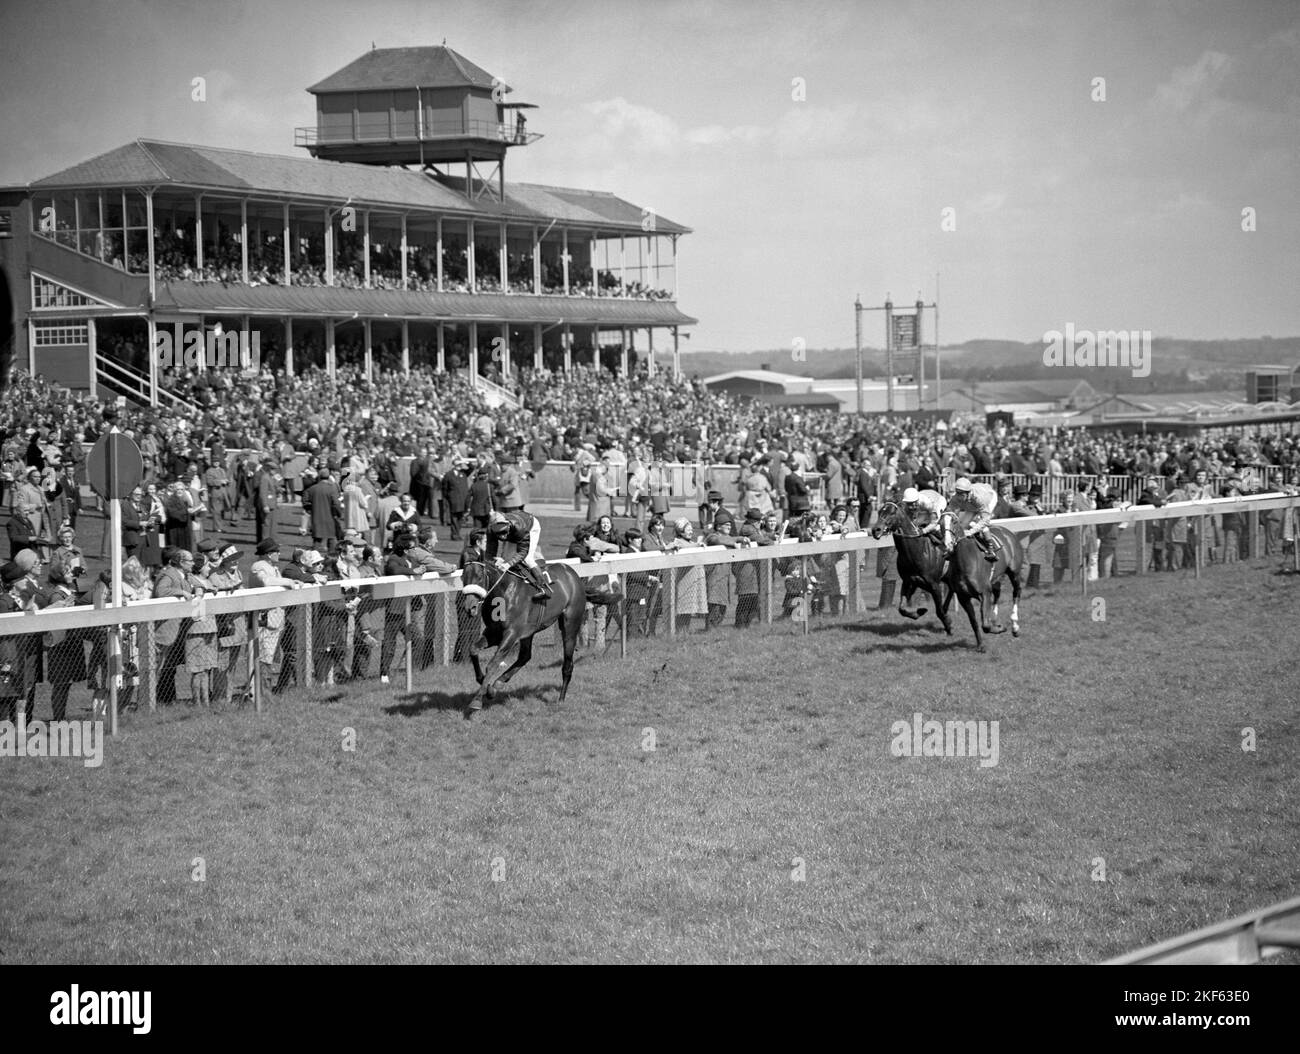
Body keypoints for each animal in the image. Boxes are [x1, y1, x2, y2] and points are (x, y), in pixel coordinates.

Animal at [457, 556, 618, 722]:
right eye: (463, 577)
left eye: (479, 576)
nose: (470, 608)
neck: (503, 592)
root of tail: (575, 576)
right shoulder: (494, 632)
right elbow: (473, 649)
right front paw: (484, 683)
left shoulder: (511, 633)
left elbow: (493, 664)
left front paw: (477, 701)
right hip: (529, 631)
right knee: (525, 656)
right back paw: (498, 684)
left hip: (570, 624)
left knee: (567, 664)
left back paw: (561, 699)